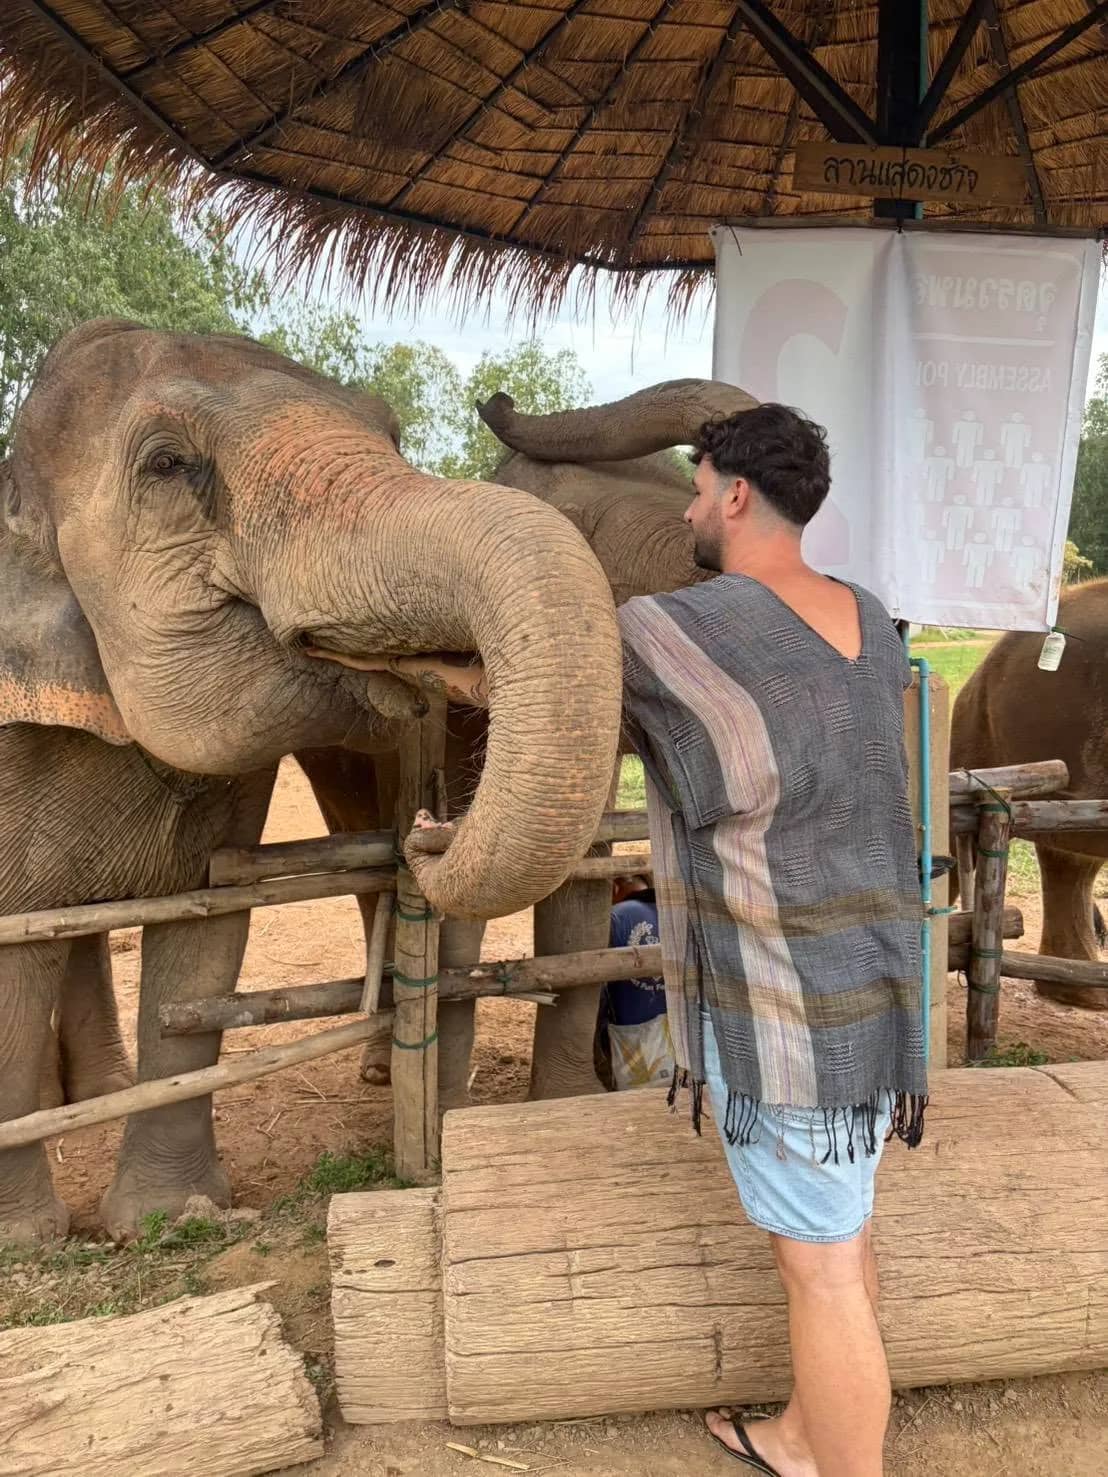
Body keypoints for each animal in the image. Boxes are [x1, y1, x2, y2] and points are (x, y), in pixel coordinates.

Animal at [0, 318, 623, 1244]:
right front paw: (27, 1238)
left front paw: (170, 1214)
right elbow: (15, 952)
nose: (431, 826)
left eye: (393, 433)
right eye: (167, 465)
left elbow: (204, 943)